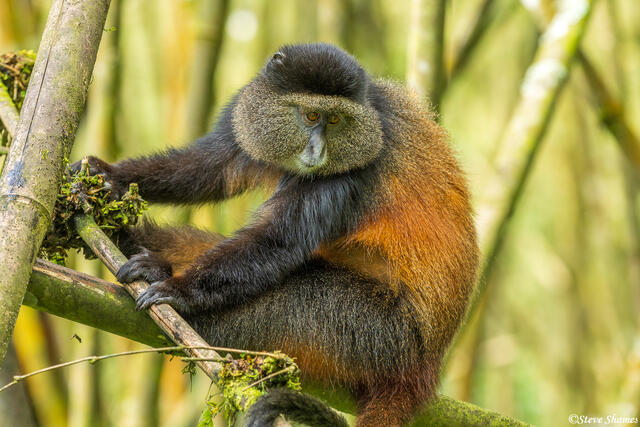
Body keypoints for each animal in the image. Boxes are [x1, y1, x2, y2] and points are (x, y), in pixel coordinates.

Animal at [72, 43, 479, 426]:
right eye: (311, 116)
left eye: (335, 120)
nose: (318, 149)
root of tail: (424, 367)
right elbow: (212, 167)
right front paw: (107, 176)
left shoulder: (354, 171)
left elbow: (276, 239)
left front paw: (178, 290)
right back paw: (129, 243)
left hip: (376, 334)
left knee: (297, 297)